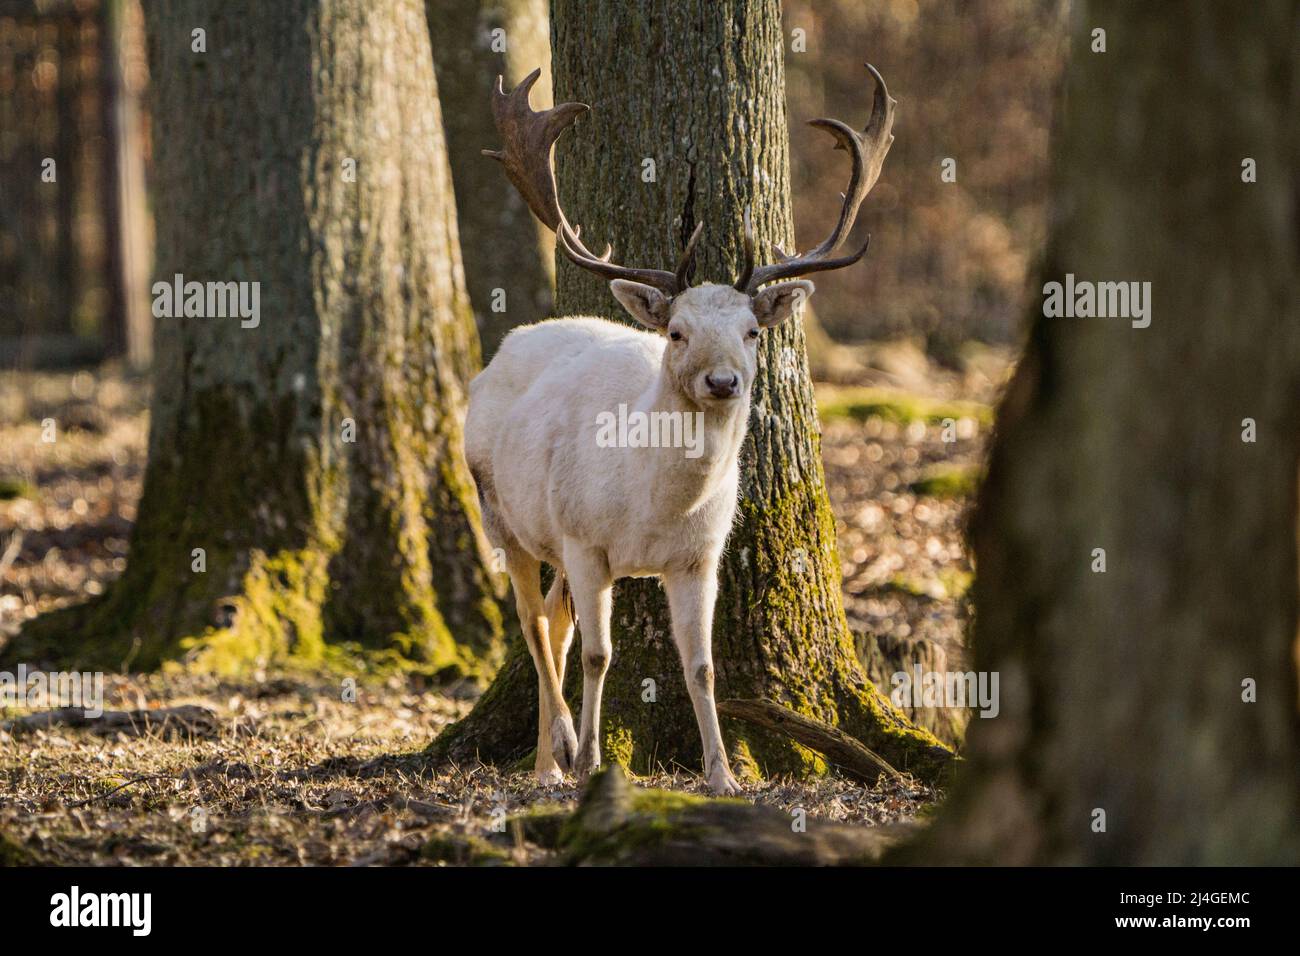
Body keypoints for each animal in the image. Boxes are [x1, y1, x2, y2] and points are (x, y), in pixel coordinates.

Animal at [465, 61, 894, 790]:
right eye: (676, 332)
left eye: (753, 331)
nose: (722, 382)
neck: (653, 508)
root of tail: (502, 351)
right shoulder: (586, 539)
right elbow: (600, 656)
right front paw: (592, 761)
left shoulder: (700, 556)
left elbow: (702, 665)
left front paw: (723, 776)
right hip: (501, 510)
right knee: (532, 624)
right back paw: (558, 756)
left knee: (552, 620)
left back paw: (546, 762)